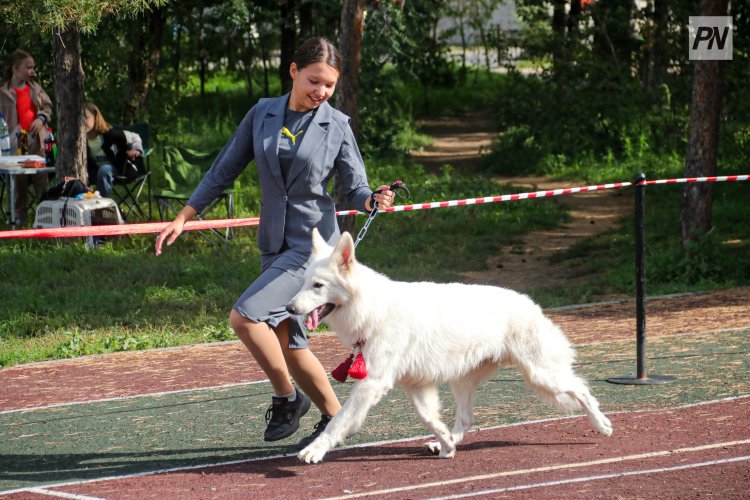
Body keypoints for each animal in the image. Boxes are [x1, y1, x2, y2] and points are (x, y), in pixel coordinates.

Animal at [286, 229, 612, 462]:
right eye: (303, 284)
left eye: (317, 286)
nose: (289, 309)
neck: (373, 308)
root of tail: (531, 304)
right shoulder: (415, 384)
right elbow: (429, 417)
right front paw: (444, 442)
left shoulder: (372, 383)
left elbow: (338, 421)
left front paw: (315, 450)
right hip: (463, 381)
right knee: (466, 419)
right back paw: (448, 442)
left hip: (541, 375)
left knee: (581, 389)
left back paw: (601, 424)